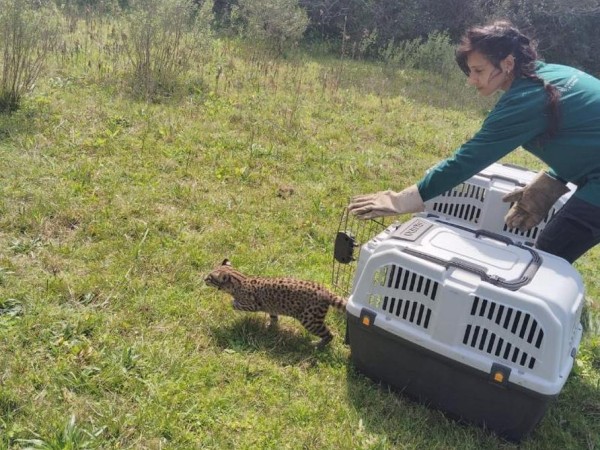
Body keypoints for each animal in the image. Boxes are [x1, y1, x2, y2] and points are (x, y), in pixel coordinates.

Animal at [206, 258, 346, 346]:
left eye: (210, 277)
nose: (203, 279)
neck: (239, 280)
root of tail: (326, 291)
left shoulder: (252, 305)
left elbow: (236, 304)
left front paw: (233, 303)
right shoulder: (272, 307)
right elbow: (273, 317)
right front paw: (270, 327)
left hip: (310, 320)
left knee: (329, 334)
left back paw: (318, 345)